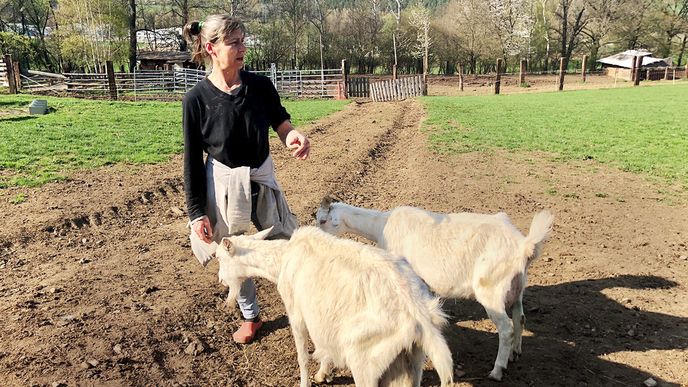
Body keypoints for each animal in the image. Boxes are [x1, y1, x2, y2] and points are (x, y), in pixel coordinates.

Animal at [215, 227, 456, 387]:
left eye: (219, 258)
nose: (220, 281)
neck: (282, 260)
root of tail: (418, 316)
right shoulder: (322, 318)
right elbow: (324, 346)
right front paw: (324, 374)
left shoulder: (296, 312)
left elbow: (303, 356)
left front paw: (306, 382)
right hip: (411, 360)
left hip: (365, 361)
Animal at [318, 197, 552, 382]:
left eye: (322, 220)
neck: (380, 224)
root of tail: (524, 246)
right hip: (516, 286)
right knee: (520, 318)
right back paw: (515, 353)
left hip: (491, 288)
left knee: (506, 329)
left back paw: (497, 370)